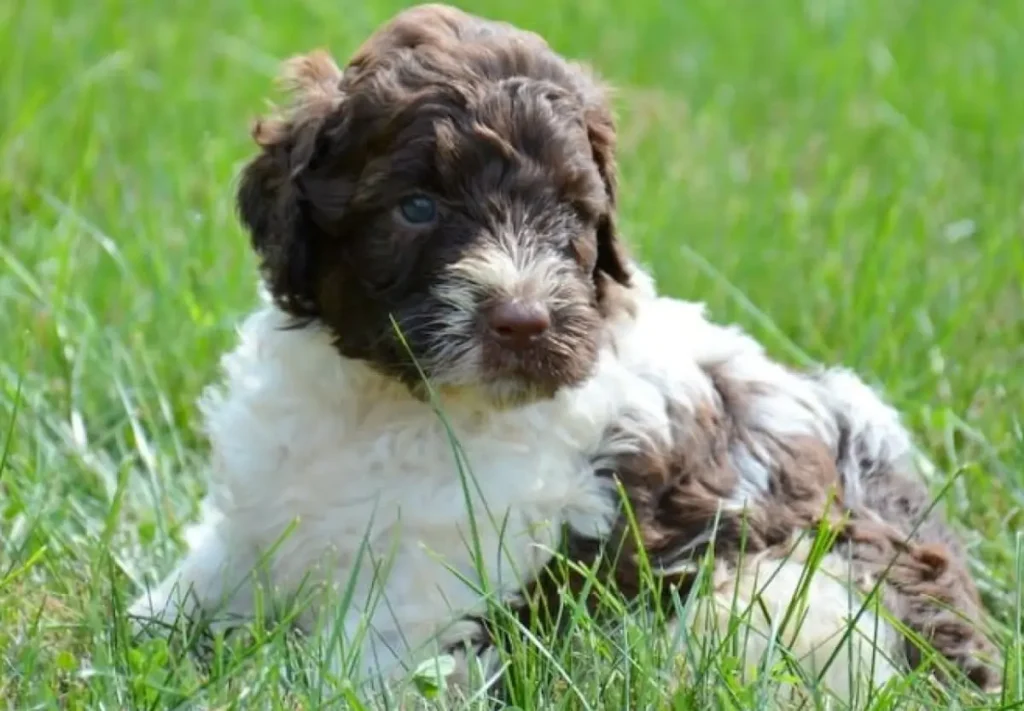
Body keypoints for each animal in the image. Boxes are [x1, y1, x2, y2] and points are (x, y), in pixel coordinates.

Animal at [132, 4, 1003, 708]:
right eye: (416, 207)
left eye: (569, 215)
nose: (523, 320)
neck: (392, 400)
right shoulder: (260, 509)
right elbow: (199, 583)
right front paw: (153, 625)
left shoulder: (439, 572)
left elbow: (356, 662)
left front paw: (274, 681)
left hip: (789, 595)